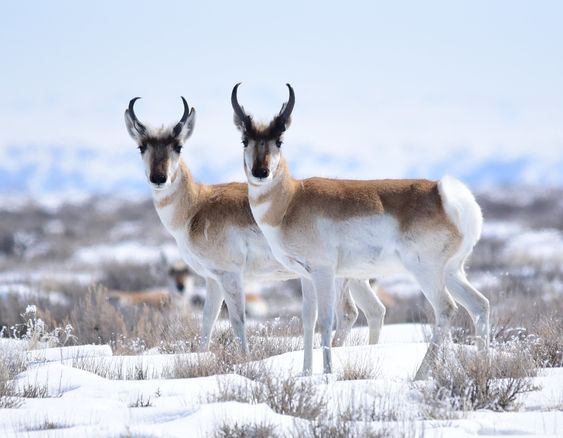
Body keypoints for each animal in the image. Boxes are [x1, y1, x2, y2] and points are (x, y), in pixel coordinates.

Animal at [124, 96, 386, 360]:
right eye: (141, 147)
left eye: (178, 146)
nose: (158, 178)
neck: (197, 206)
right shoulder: (212, 279)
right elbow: (207, 320)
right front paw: (201, 356)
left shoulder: (230, 275)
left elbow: (238, 320)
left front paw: (244, 359)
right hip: (354, 277)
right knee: (373, 310)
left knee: (348, 312)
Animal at [229, 84, 490, 378]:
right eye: (245, 140)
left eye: (279, 141)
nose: (260, 172)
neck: (292, 200)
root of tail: (444, 193)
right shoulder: (305, 276)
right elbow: (308, 320)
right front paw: (305, 373)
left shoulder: (324, 272)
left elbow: (327, 320)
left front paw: (327, 373)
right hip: (453, 271)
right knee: (480, 305)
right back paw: (483, 364)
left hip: (426, 271)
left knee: (446, 309)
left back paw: (420, 374)